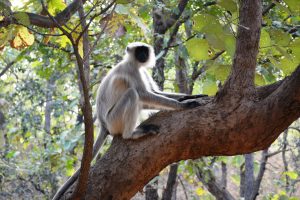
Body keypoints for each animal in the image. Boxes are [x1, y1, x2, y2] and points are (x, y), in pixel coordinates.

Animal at [52, 42, 205, 200]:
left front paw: (189, 97)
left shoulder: (141, 71)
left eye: (144, 51)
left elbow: (153, 95)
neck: (134, 63)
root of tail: (104, 125)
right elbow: (144, 95)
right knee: (132, 94)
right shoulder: (131, 71)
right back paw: (131, 134)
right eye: (139, 51)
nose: (143, 55)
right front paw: (185, 105)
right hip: (114, 120)